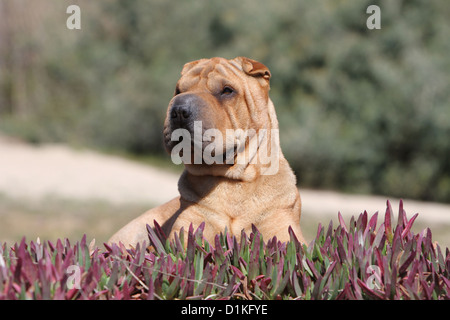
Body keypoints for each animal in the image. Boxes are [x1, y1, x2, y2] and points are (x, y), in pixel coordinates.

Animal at [109, 57, 306, 248]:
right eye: (178, 90)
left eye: (227, 90)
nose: (179, 110)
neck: (232, 180)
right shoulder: (187, 231)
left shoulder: (282, 232)